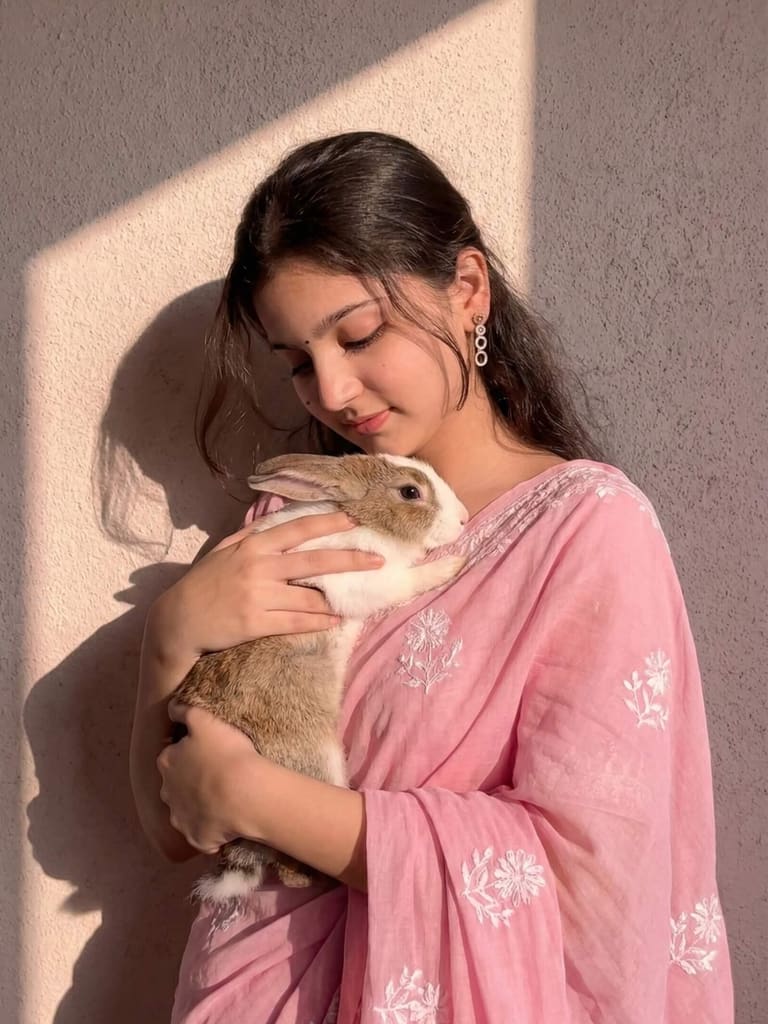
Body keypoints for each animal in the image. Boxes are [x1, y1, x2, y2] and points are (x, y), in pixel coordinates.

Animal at [172, 452, 469, 907]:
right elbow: (404, 581)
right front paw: (452, 565)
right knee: (290, 869)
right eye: (410, 492)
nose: (465, 520)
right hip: (318, 763)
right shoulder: (363, 580)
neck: (358, 517)